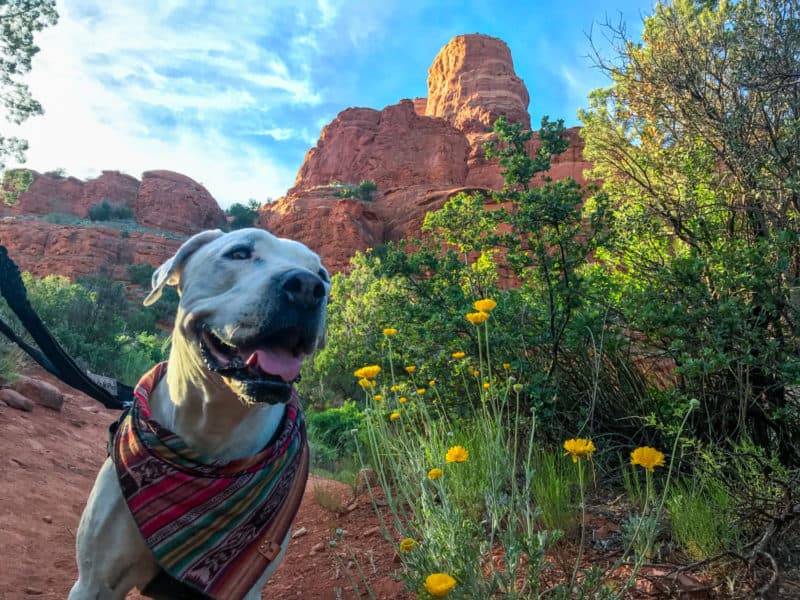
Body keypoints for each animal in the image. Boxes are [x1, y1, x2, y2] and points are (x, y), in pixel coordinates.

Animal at [69, 229, 330, 600]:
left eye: (322, 274)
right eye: (239, 253)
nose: (309, 287)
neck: (213, 425)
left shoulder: (243, 584)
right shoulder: (94, 583)